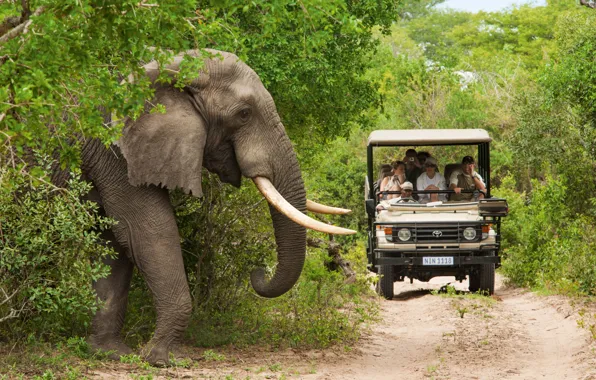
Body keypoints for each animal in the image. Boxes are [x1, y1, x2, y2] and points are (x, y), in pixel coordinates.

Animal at [82, 49, 356, 366]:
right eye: (244, 114)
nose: (257, 272)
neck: (171, 64)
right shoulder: (113, 147)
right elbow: (146, 229)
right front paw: (161, 359)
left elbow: (115, 240)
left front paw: (111, 353)